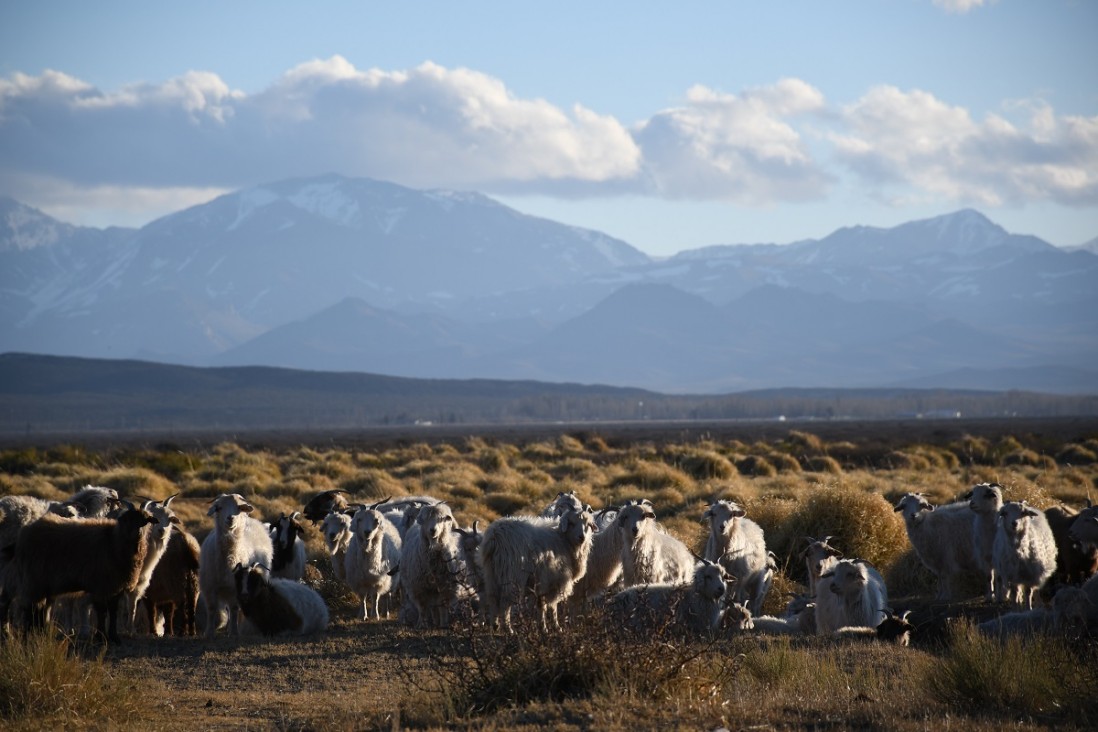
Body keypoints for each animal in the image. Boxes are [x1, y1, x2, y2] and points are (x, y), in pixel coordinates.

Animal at [12, 507, 157, 645]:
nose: (138, 533)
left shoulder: (116, 587)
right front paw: (101, 637)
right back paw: (27, 637)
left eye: (145, 521)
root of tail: (25, 532)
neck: (113, 540)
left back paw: (41, 633)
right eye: (127, 519)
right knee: (30, 609)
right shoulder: (100, 585)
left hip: (44, 584)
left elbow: (113, 612)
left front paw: (114, 637)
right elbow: (101, 612)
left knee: (40, 610)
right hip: (33, 580)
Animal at [198, 496, 273, 636]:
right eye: (219, 507)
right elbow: (211, 609)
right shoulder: (209, 587)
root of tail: (252, 520)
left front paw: (234, 632)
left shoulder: (236, 588)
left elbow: (234, 609)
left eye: (239, 507)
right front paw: (209, 632)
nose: (230, 518)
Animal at [399, 504, 463, 632]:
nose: (433, 530)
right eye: (426, 519)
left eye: (441, 519)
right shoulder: (418, 587)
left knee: (435, 605)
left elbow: (443, 606)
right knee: (431, 606)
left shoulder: (445, 585)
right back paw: (433, 621)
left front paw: (444, 624)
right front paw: (422, 624)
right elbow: (422, 607)